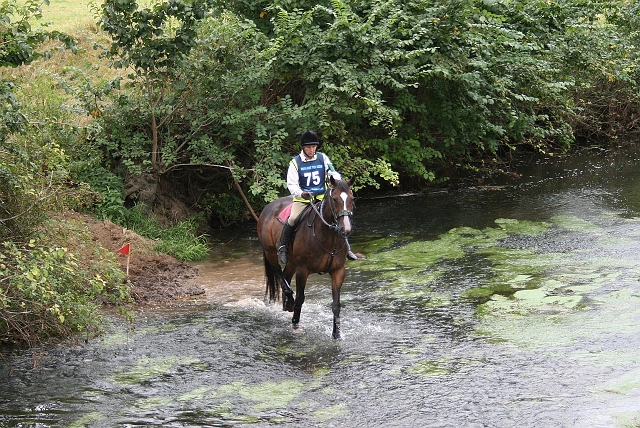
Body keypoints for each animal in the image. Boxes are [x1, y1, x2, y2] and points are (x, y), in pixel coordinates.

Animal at [256, 176, 356, 340]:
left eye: (352, 199)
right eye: (334, 199)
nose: (345, 230)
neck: (327, 236)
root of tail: (267, 207)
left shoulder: (338, 271)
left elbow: (336, 304)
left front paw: (336, 334)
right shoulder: (303, 270)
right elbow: (300, 299)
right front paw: (295, 324)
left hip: (292, 261)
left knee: (285, 276)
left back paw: (286, 305)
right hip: (271, 253)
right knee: (279, 274)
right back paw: (289, 302)